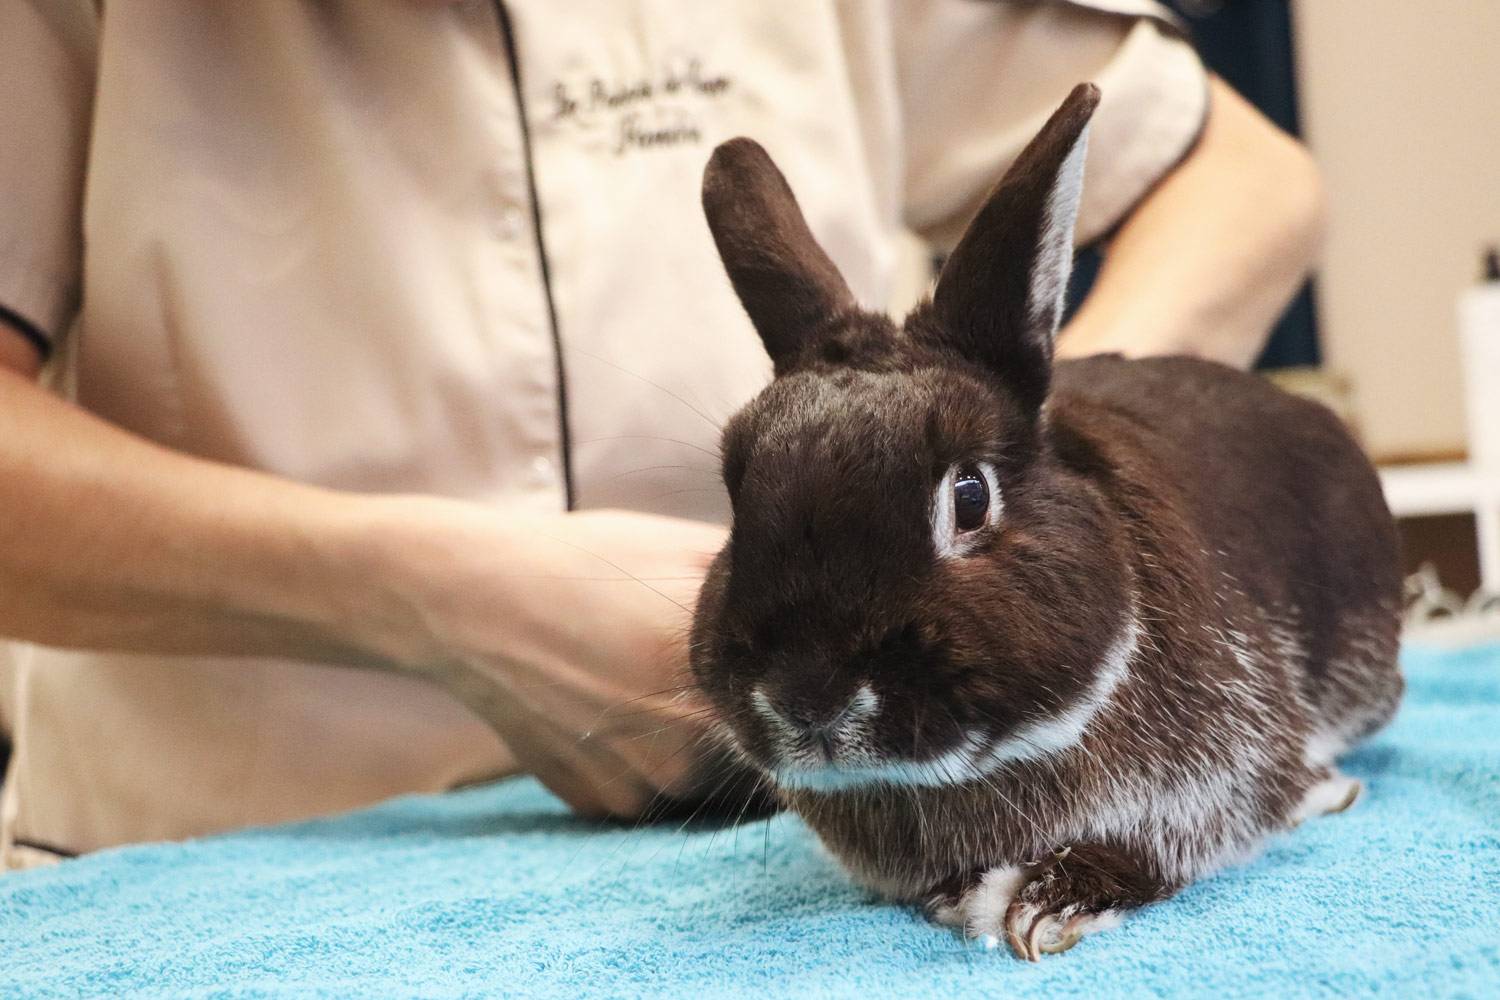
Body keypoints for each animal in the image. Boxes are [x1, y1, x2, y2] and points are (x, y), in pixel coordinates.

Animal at [687, 82, 1398, 959]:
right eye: (735, 493)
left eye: (970, 498)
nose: (808, 697)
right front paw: (968, 898)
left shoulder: (1222, 767)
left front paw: (1047, 905)